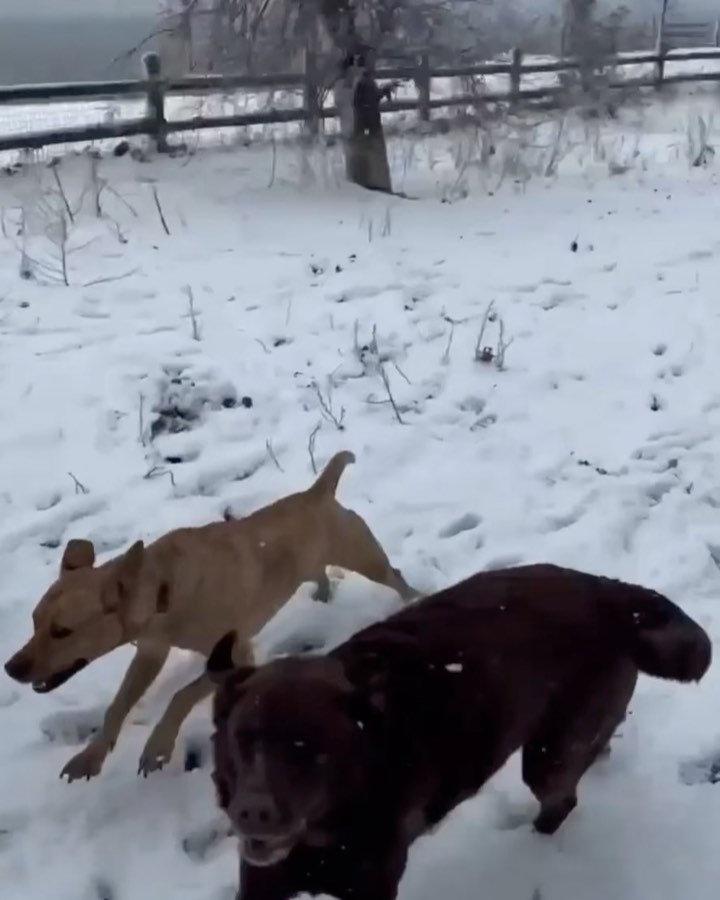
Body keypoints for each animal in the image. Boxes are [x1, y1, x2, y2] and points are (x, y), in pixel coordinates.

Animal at [2, 450, 416, 780]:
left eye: (62, 631)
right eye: (35, 622)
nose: (11, 668)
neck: (164, 592)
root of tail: (318, 492)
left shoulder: (234, 657)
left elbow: (182, 695)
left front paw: (157, 748)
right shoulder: (149, 651)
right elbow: (116, 706)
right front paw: (91, 756)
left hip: (364, 557)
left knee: (395, 577)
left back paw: (414, 600)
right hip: (309, 563)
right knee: (320, 574)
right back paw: (324, 595)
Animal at [205, 564, 712, 900]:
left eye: (308, 747)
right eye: (242, 738)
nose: (251, 812)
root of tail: (607, 591)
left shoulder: (372, 885)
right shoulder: (260, 881)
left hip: (548, 755)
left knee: (561, 799)